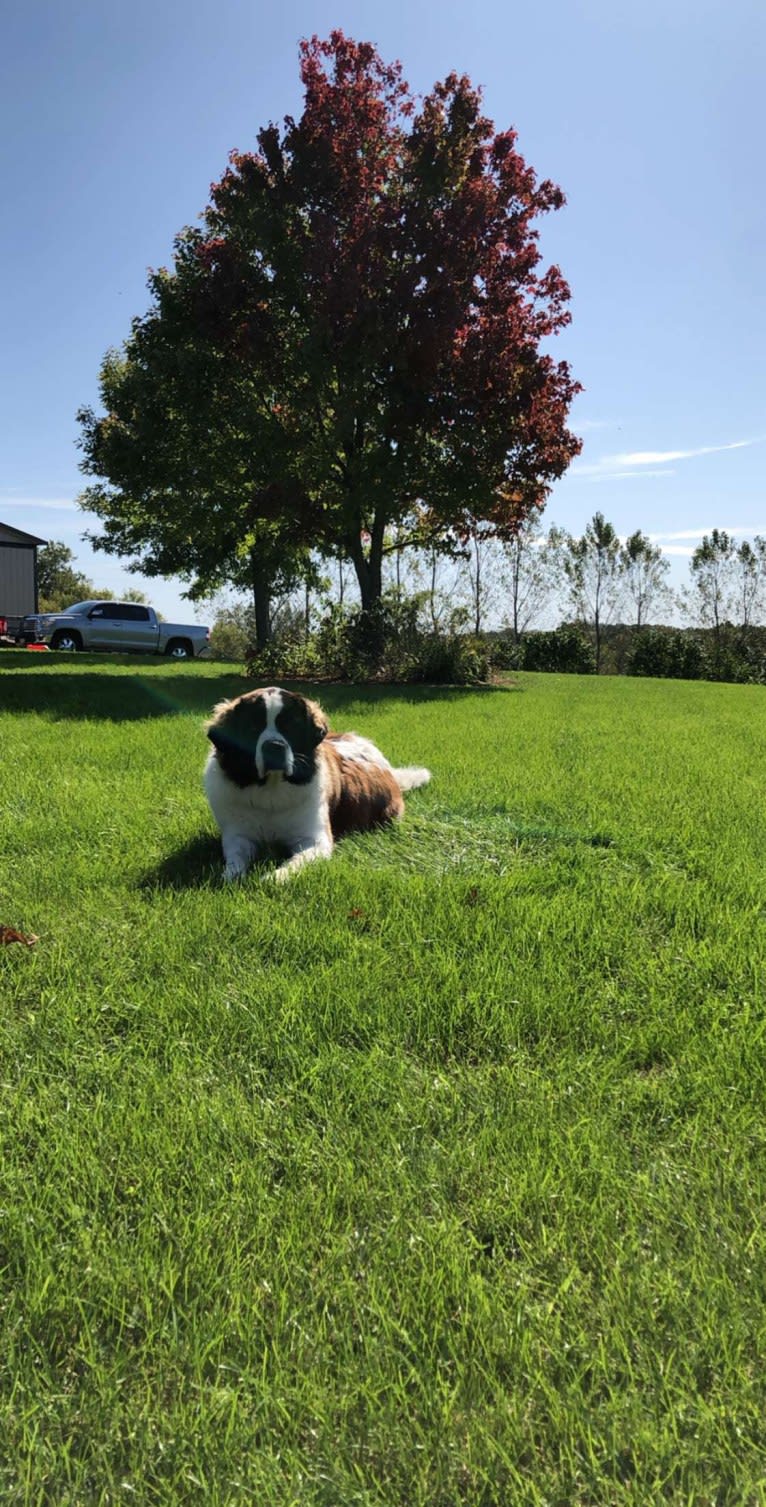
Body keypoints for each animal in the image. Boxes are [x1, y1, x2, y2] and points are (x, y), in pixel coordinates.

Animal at [203, 687, 431, 880]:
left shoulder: (316, 840)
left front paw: (273, 877)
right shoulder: (237, 835)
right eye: (252, 727)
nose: (274, 746)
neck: (271, 789)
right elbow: (236, 858)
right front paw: (230, 875)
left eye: (291, 726)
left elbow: (294, 862)